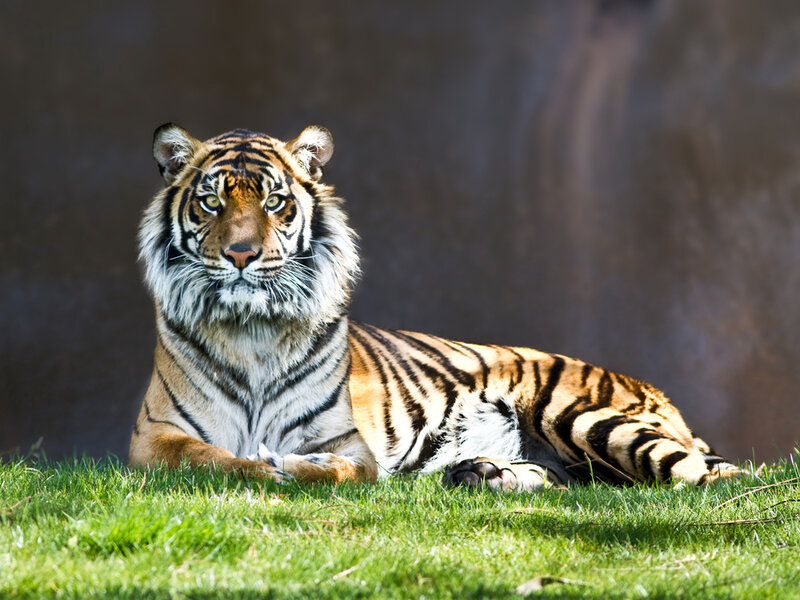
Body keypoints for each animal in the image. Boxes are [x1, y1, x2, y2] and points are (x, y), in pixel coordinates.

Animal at [128, 123, 740, 491]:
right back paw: (482, 473)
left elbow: (339, 470)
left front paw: (292, 466)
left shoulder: (349, 443)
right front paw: (264, 466)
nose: (240, 254)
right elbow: (212, 459)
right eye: (211, 202)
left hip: (587, 416)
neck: (252, 330)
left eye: (275, 201)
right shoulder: (153, 439)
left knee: (708, 478)